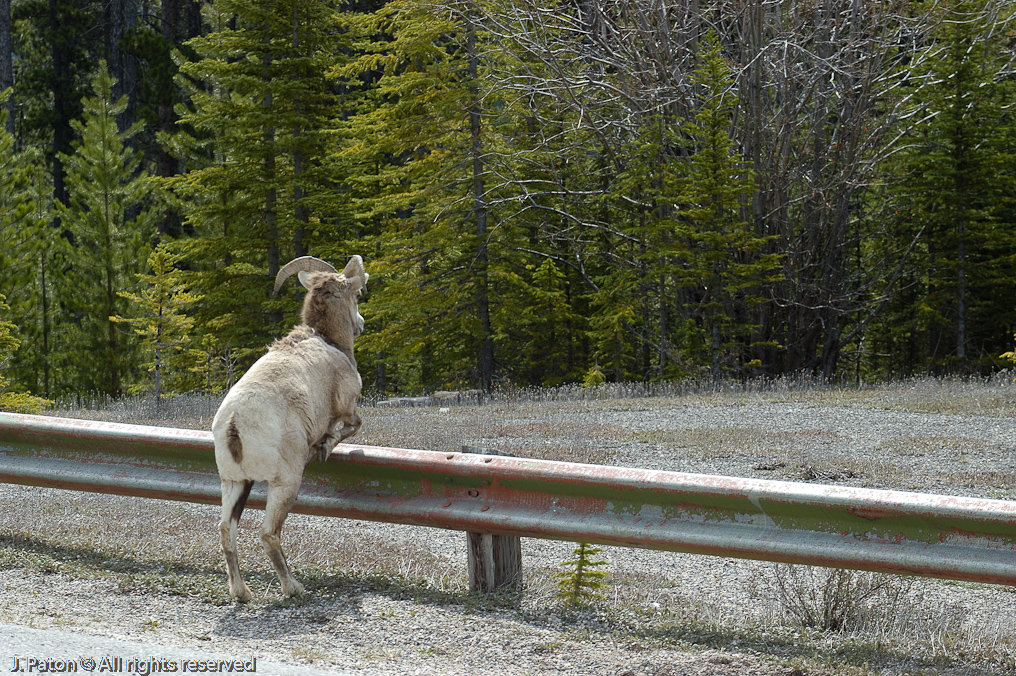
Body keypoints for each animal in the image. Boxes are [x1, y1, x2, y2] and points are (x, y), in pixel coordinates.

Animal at [211, 255, 368, 603]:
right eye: (357, 295)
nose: (361, 323)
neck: (328, 341)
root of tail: (234, 425)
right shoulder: (347, 406)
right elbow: (351, 425)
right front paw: (323, 447)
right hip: (285, 483)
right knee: (268, 533)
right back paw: (294, 588)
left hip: (235, 482)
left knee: (227, 531)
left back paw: (242, 593)